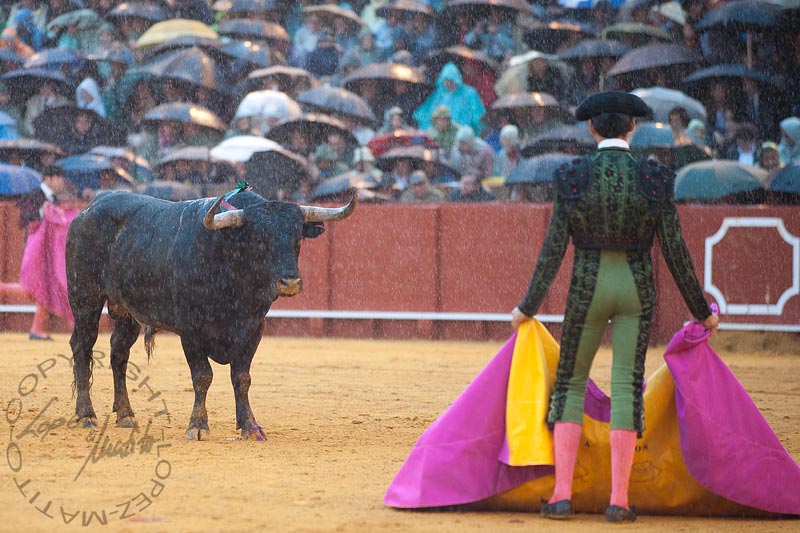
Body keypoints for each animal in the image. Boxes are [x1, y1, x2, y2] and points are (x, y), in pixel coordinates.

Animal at [67, 189, 354, 438]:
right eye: (259, 240)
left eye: (298, 239)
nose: (290, 282)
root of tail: (90, 207)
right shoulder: (190, 330)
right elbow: (203, 376)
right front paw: (197, 425)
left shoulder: (253, 328)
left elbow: (242, 378)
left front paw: (250, 426)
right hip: (85, 298)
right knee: (82, 346)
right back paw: (86, 415)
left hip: (127, 312)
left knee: (119, 352)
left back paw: (125, 414)